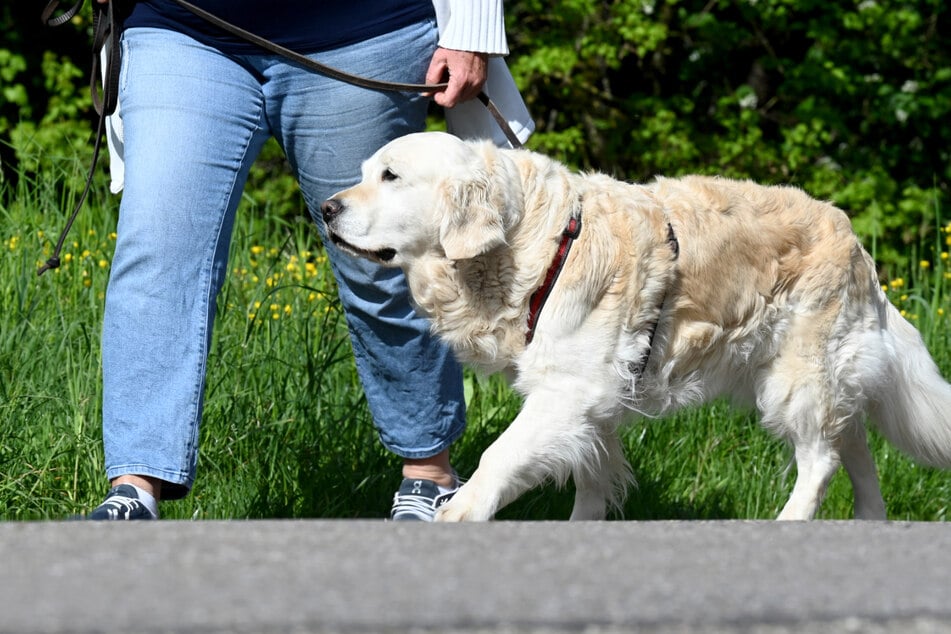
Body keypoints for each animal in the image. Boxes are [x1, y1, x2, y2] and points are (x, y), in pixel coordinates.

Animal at [320, 130, 951, 520]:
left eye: (391, 176)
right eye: (364, 173)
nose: (326, 209)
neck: (534, 245)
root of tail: (855, 240)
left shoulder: (568, 392)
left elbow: (498, 457)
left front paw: (458, 512)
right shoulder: (594, 408)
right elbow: (592, 488)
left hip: (797, 380)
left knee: (821, 461)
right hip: (825, 381)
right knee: (854, 449)